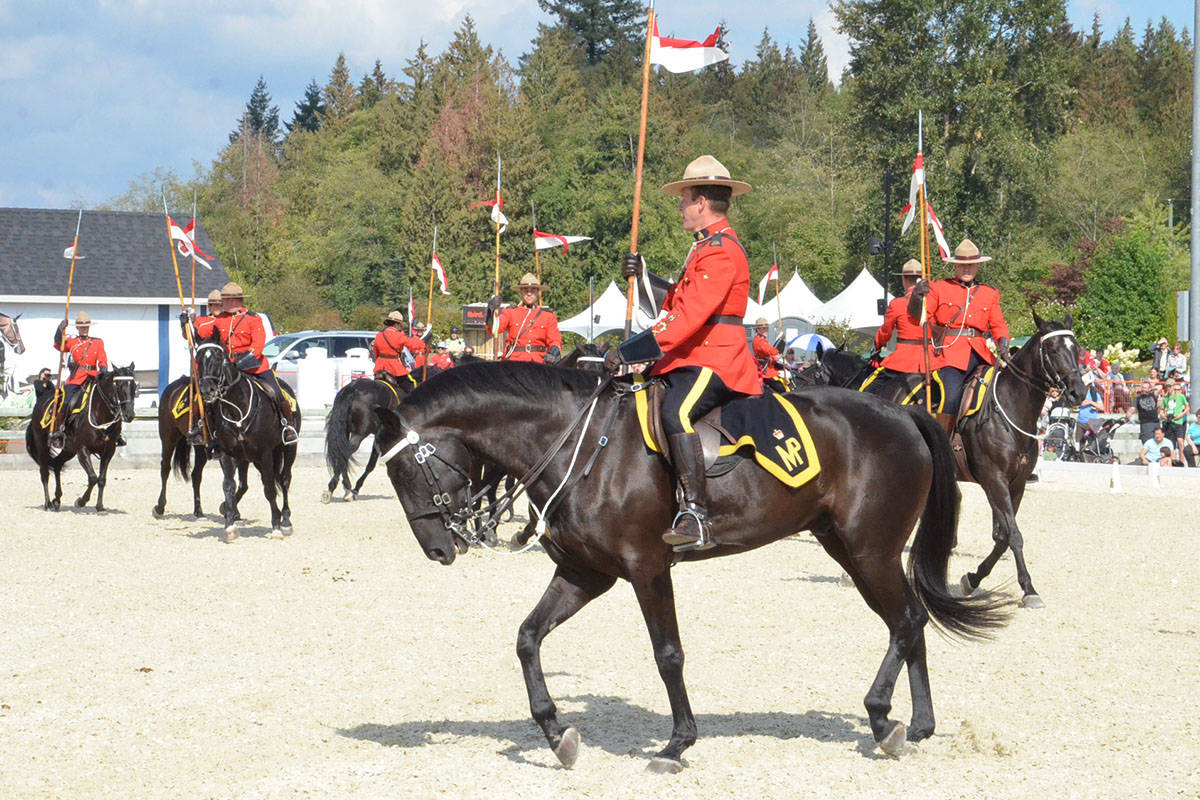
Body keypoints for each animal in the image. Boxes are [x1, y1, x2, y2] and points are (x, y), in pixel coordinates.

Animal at [25, 367, 136, 513]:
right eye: (118, 386)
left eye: (134, 386)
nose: (130, 415)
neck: (99, 413)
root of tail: (41, 400)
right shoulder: (83, 449)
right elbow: (93, 478)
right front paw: (81, 501)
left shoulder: (108, 451)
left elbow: (101, 479)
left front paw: (99, 506)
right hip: (42, 445)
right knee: (44, 473)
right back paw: (48, 503)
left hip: (68, 450)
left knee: (57, 465)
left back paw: (57, 499)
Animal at [153, 376, 249, 520]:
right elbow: (231, 481)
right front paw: (229, 510)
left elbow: (243, 485)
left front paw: (230, 510)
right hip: (168, 438)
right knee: (165, 468)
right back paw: (159, 508)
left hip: (201, 449)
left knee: (196, 475)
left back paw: (198, 510)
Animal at [194, 331, 300, 544]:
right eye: (198, 359)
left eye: (218, 358)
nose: (207, 390)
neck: (237, 407)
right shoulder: (227, 454)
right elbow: (228, 486)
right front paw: (230, 526)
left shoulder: (265, 453)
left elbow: (269, 488)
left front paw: (276, 526)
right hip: (251, 458)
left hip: (287, 449)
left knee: (284, 480)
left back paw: (285, 520)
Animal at [369, 367, 1008, 772]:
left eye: (403, 471)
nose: (438, 548)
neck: (582, 447)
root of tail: (901, 414)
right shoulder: (584, 573)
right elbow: (528, 638)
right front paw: (556, 735)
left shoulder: (648, 568)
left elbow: (667, 654)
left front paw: (678, 742)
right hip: (850, 550)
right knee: (911, 620)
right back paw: (917, 724)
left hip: (870, 551)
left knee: (906, 621)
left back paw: (882, 719)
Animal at [806, 311, 1089, 606]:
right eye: (1053, 349)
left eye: (1077, 349)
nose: (1078, 392)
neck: (1010, 409)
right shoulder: (994, 481)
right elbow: (1013, 534)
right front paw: (1028, 588)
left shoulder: (1016, 484)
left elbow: (1003, 537)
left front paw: (973, 578)